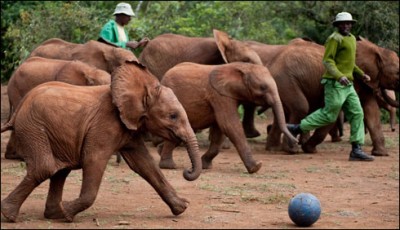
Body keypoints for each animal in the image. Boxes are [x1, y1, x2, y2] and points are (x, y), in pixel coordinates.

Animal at [159, 62, 296, 173]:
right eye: (263, 87)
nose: (295, 141)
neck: (242, 67)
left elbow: (219, 130)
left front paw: (205, 166)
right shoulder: (220, 96)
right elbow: (229, 125)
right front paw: (256, 167)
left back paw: (160, 151)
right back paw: (168, 166)